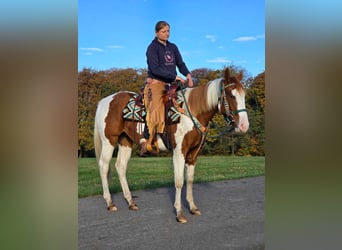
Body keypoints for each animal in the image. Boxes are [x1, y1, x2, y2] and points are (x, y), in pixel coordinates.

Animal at [93, 67, 248, 224]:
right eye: (231, 95)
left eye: (244, 95)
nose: (244, 125)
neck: (191, 113)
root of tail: (105, 101)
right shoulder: (179, 151)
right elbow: (179, 181)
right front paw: (179, 213)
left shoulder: (193, 154)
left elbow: (189, 180)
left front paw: (193, 208)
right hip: (109, 141)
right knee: (104, 166)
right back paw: (110, 203)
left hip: (125, 141)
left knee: (120, 166)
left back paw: (130, 202)